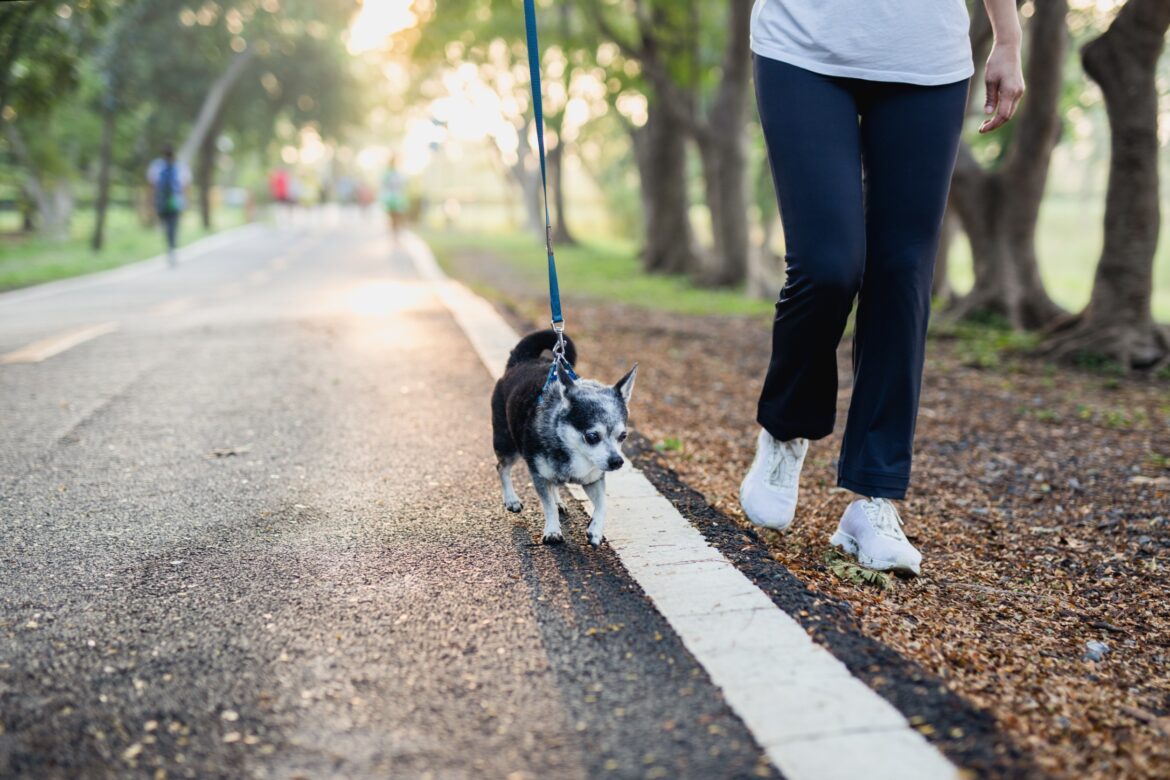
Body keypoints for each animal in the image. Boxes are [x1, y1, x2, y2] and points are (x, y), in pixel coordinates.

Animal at [493, 332, 641, 547]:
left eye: (623, 436)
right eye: (592, 437)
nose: (617, 461)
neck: (573, 449)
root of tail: (522, 361)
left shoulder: (593, 480)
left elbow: (603, 503)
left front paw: (595, 531)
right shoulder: (539, 475)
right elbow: (547, 506)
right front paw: (553, 531)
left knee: (553, 483)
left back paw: (558, 501)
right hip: (508, 444)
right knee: (502, 467)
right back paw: (511, 499)